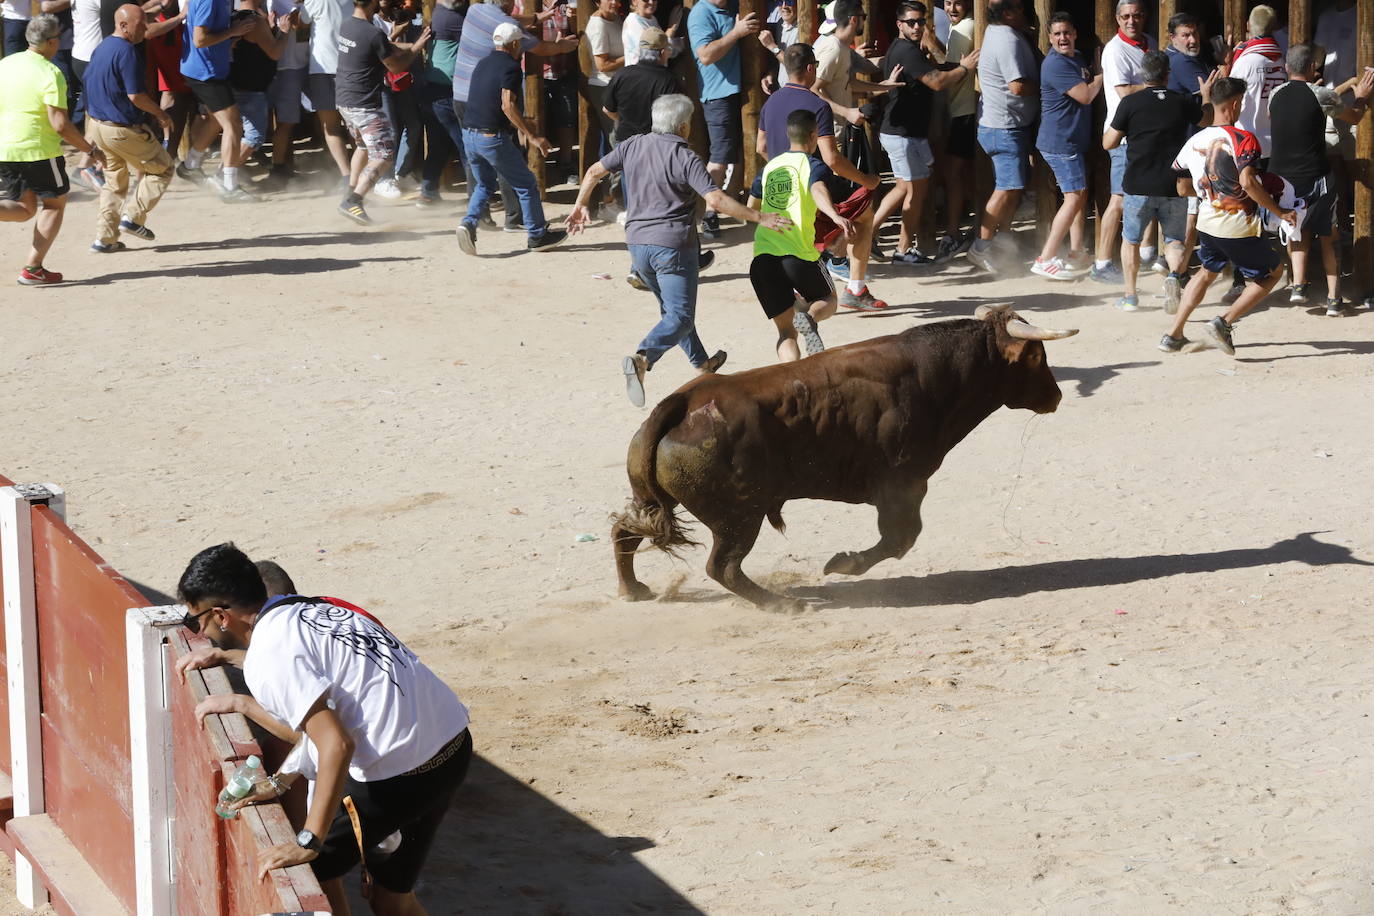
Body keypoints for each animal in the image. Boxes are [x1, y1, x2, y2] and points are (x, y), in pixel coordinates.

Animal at [610, 304, 1071, 612]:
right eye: (1036, 356)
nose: (1056, 396)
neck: (934, 375)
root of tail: (683, 401)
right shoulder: (903, 485)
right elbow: (901, 538)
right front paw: (842, 564)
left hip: (657, 501)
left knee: (625, 531)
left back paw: (634, 590)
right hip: (739, 516)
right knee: (722, 567)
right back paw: (783, 604)